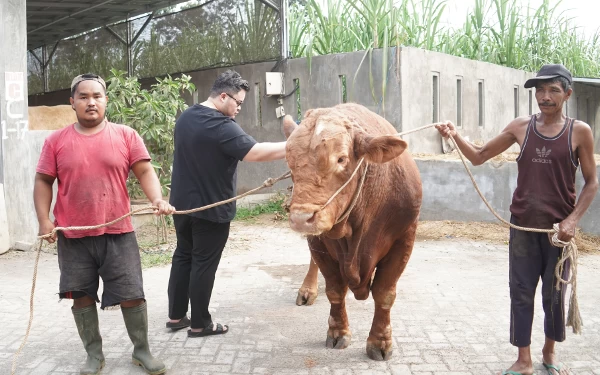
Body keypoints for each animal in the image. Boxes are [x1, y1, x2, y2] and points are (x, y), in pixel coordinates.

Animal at [284, 103, 422, 362]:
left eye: (341, 159)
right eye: (289, 160)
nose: (301, 218)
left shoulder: (404, 237)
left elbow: (384, 293)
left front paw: (380, 341)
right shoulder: (320, 244)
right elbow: (335, 290)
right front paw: (337, 332)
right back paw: (307, 290)